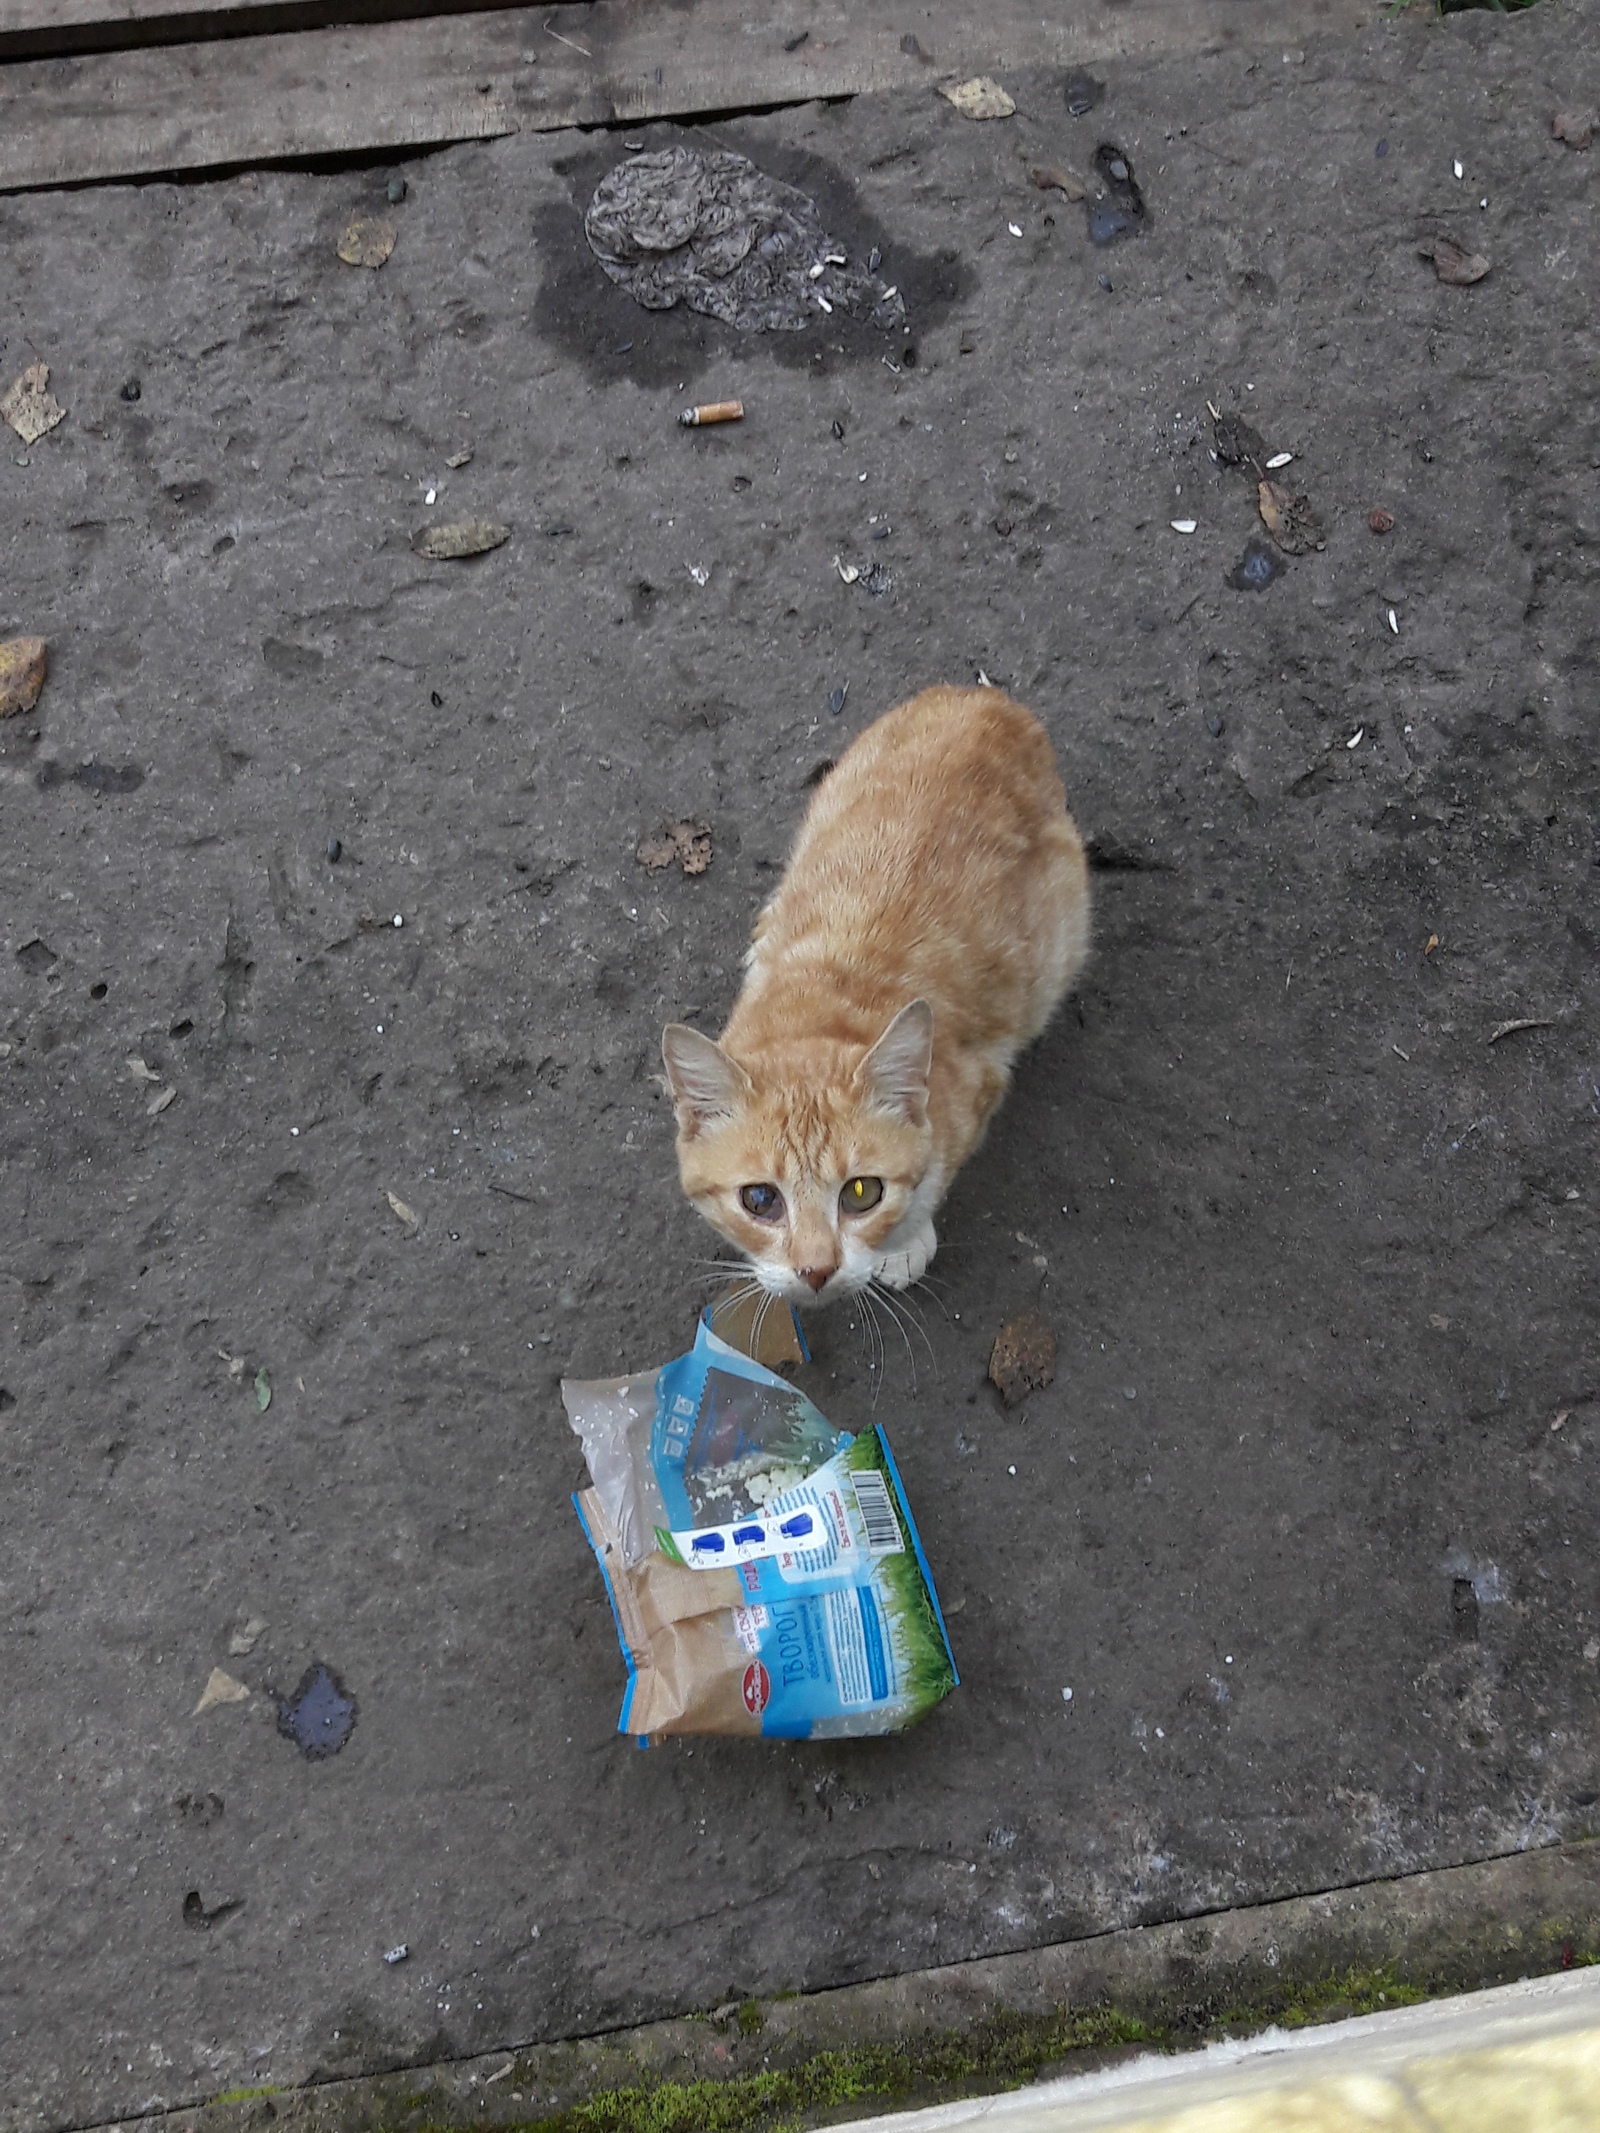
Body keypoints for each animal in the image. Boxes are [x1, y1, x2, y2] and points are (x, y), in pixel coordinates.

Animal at [661, 691, 1092, 1305]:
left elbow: (933, 1175)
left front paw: (904, 1242)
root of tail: (988, 701)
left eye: (861, 1193)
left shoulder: (980, 1085)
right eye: (760, 1200)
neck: (822, 1007)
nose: (816, 1270)